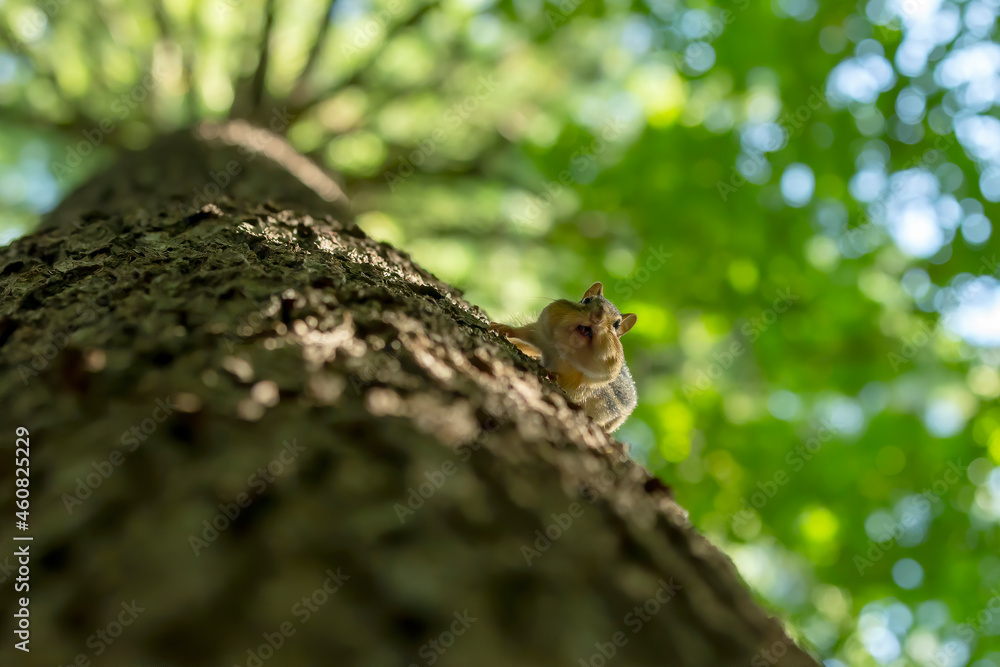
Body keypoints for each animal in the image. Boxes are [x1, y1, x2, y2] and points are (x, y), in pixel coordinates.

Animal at [490, 282, 637, 433]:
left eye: (617, 324)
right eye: (586, 300)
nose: (596, 317)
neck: (566, 351)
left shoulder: (589, 384)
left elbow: (572, 390)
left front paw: (553, 374)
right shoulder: (541, 333)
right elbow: (526, 332)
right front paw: (505, 328)